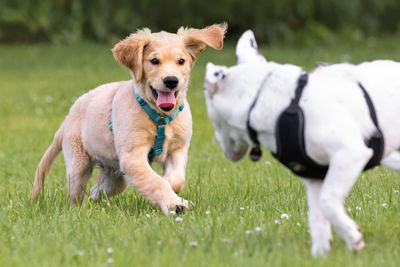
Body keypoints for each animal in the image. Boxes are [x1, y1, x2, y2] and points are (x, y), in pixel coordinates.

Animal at [30, 23, 227, 216]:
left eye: (181, 61)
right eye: (154, 61)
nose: (171, 81)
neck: (160, 118)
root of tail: (67, 118)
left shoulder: (177, 149)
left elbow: (176, 180)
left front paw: (171, 188)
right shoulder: (132, 157)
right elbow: (155, 182)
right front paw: (174, 204)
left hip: (116, 176)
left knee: (96, 190)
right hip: (79, 164)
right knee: (76, 196)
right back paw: (77, 212)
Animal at [203, 30, 400, 256]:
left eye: (214, 120)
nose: (222, 148)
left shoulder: (349, 155)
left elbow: (328, 202)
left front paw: (352, 237)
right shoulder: (315, 177)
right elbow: (317, 218)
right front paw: (321, 254)